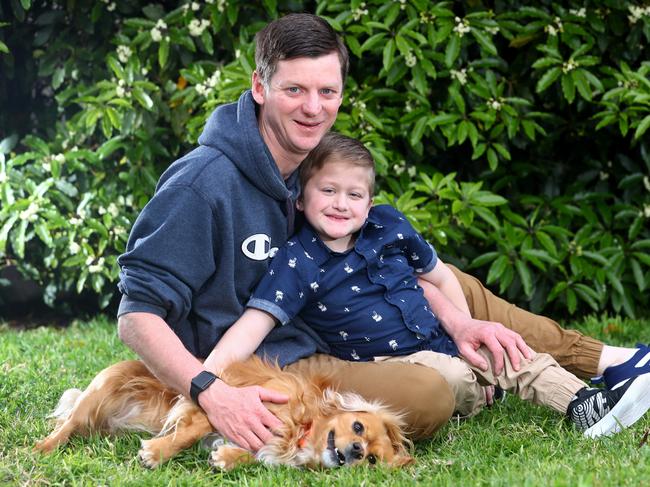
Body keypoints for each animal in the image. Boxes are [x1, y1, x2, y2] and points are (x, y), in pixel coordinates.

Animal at [35, 356, 410, 470]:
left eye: (372, 460)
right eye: (358, 427)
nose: (357, 451)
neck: (300, 426)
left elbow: (247, 453)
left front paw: (227, 458)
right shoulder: (227, 404)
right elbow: (189, 432)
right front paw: (156, 453)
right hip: (102, 388)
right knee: (68, 424)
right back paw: (43, 448)